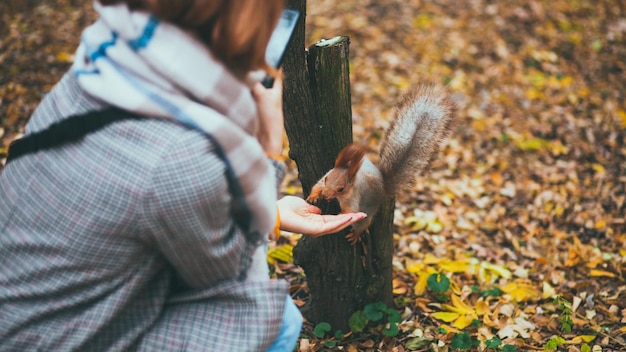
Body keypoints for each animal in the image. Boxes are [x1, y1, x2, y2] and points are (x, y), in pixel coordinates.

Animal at [306, 83, 456, 245]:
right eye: (327, 179)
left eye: (341, 189)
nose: (326, 195)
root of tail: (384, 186)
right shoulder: (324, 178)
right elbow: (317, 185)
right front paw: (313, 196)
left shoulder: (354, 198)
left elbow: (351, 211)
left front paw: (341, 214)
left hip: (369, 210)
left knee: (363, 223)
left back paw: (356, 234)